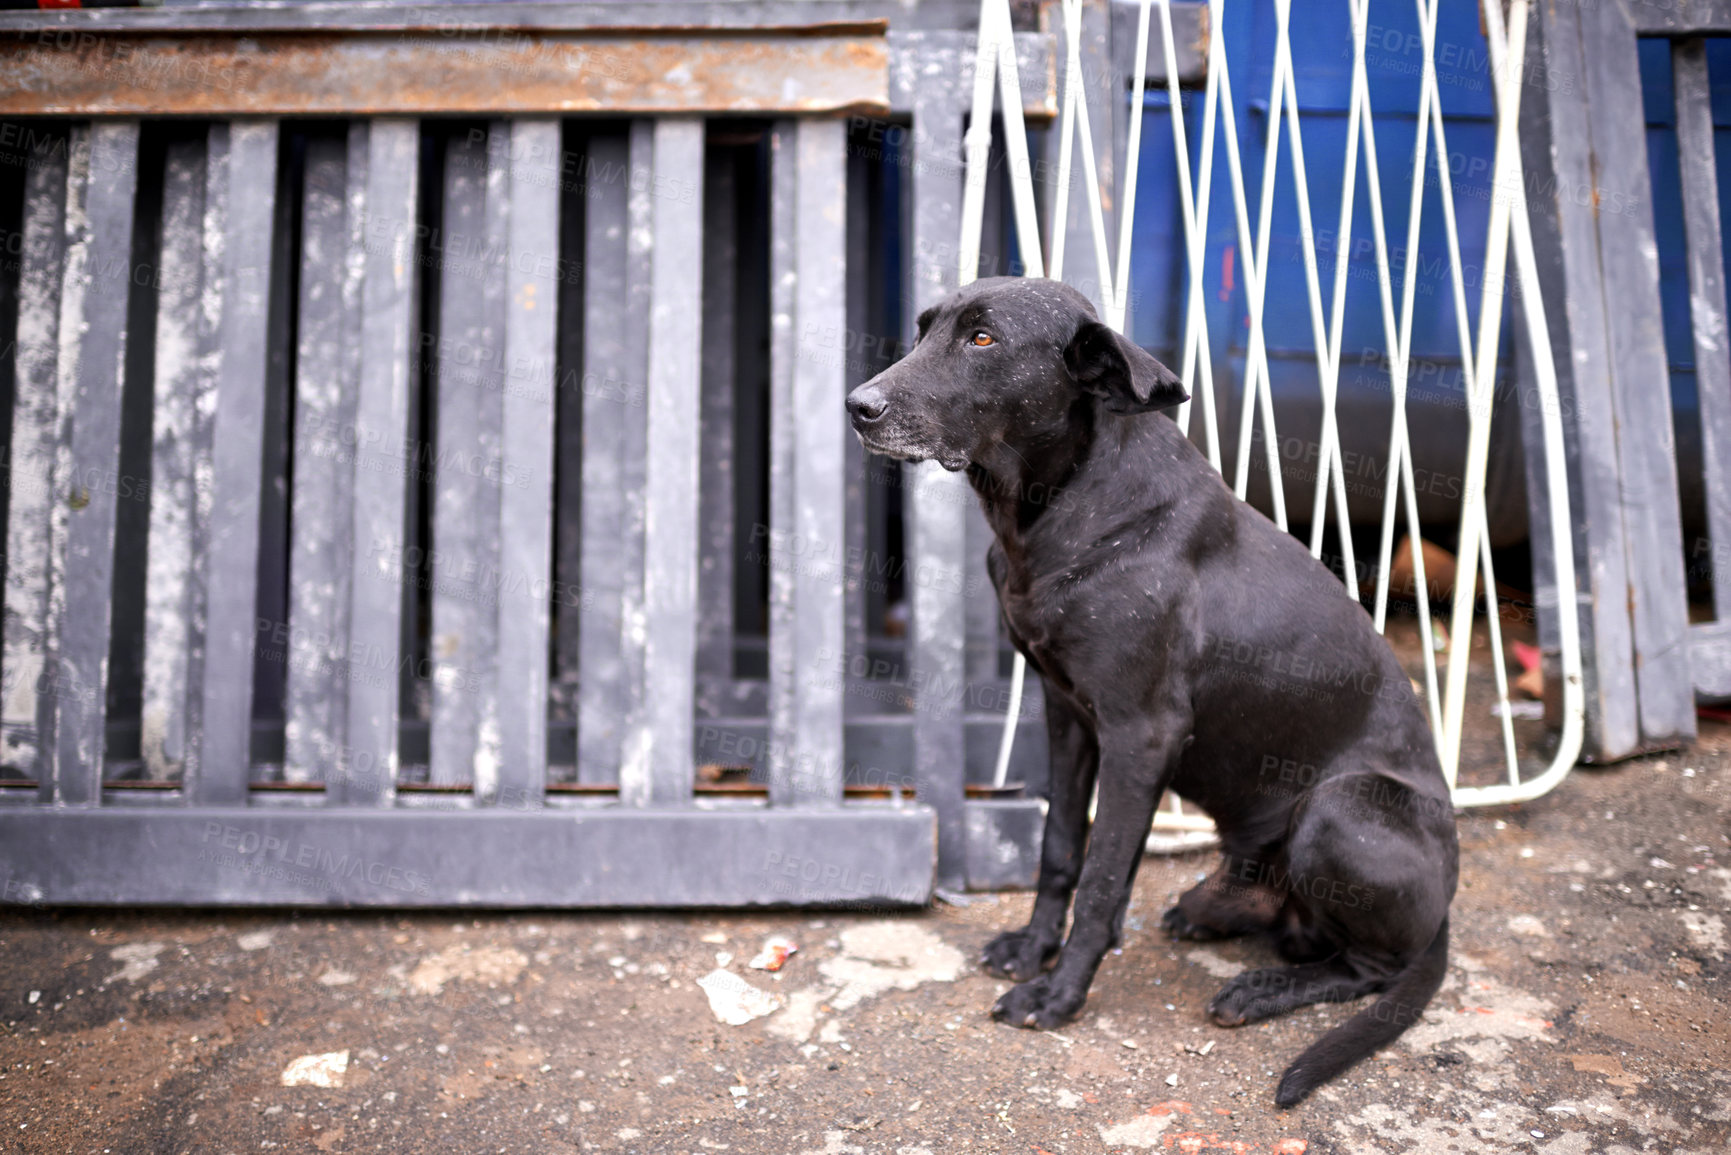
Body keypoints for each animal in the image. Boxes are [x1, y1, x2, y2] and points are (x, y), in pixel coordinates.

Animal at [844, 275, 1454, 1108]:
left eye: (982, 339)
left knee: (1370, 968)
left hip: (1341, 806)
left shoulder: (1140, 736)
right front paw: (1032, 948)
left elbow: (1103, 879)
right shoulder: (1065, 713)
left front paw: (1057, 993)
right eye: (921, 330)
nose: (858, 405)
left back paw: (1262, 989)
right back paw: (1217, 909)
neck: (1058, 502)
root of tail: (1445, 906)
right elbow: (1059, 849)